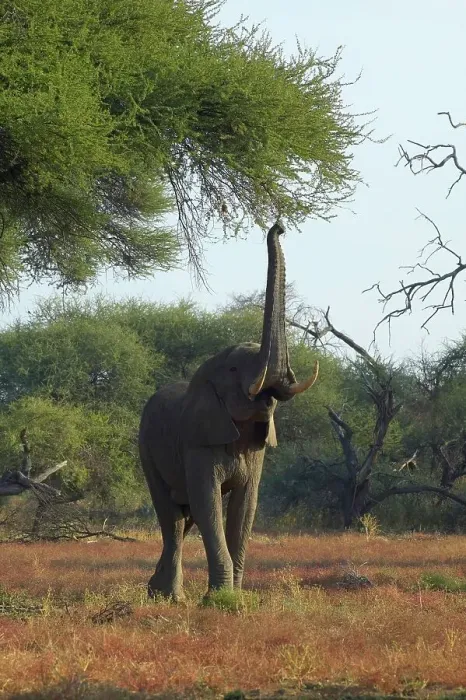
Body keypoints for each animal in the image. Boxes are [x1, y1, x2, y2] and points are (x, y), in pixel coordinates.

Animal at [138, 223, 319, 600]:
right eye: (235, 369)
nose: (279, 226)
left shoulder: (257, 449)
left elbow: (244, 507)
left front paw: (234, 598)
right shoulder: (197, 442)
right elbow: (209, 504)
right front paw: (218, 601)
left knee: (183, 517)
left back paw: (156, 592)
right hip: (146, 450)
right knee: (172, 518)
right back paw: (171, 598)